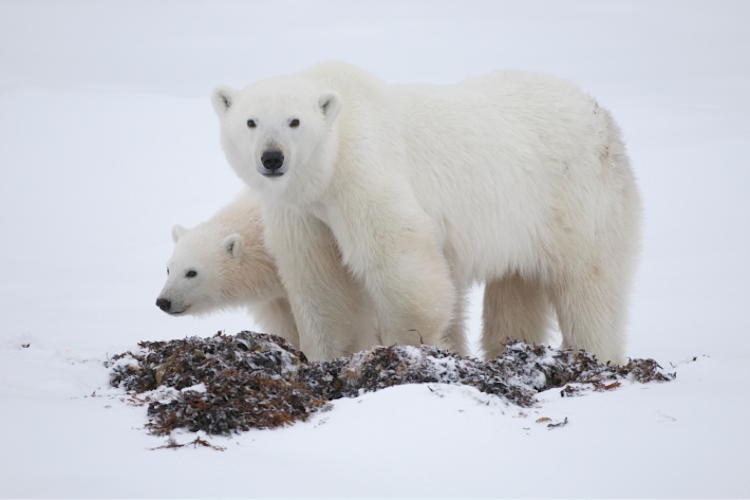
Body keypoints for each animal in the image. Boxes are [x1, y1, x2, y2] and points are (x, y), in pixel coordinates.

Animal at [210, 62, 642, 364]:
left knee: (589, 287)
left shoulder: (364, 170)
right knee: (516, 288)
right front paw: (325, 356)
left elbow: (400, 263)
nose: (272, 158)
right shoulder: (301, 212)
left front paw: (408, 347)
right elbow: (321, 281)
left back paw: (595, 356)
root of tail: (599, 112)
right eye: (250, 121)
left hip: (578, 197)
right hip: (525, 224)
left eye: (294, 121)